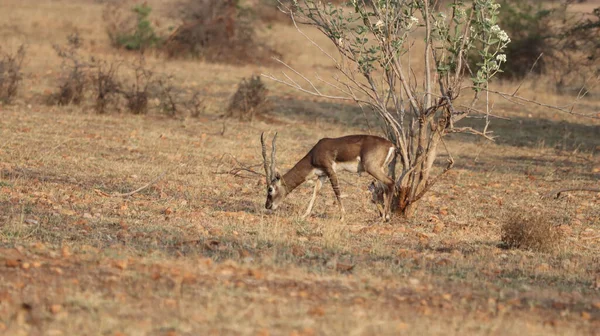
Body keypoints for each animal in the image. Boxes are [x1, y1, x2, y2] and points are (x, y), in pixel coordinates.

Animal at [260, 133, 396, 222]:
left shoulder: (330, 171)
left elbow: (336, 191)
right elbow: (315, 192)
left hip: (372, 168)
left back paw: (387, 217)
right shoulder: (322, 175)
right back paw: (383, 215)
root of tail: (391, 145)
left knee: (391, 182)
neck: (314, 154)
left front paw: (342, 217)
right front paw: (304, 215)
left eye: (270, 189)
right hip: (380, 169)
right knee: (383, 188)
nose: (267, 206)